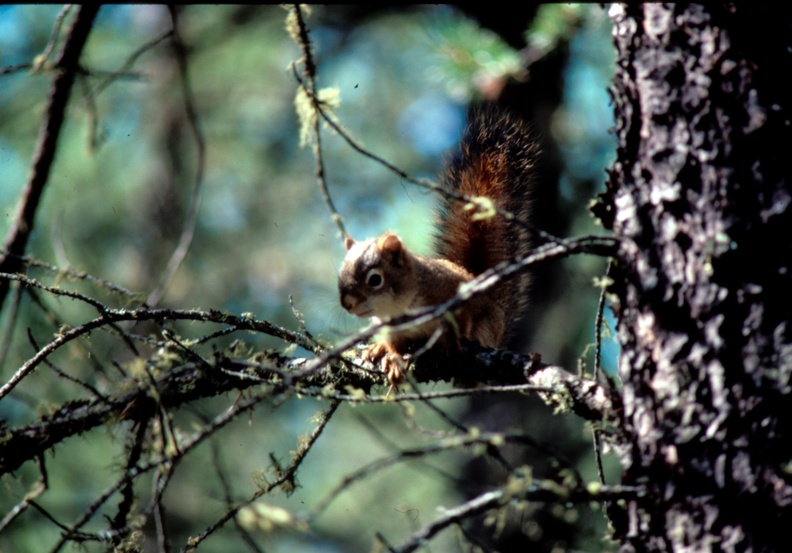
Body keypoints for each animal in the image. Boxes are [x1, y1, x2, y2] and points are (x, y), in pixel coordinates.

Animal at [338, 109, 537, 384]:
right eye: (339, 275)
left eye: (375, 279)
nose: (346, 303)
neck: (401, 307)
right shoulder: (390, 328)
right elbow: (394, 344)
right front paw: (391, 357)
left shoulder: (452, 294)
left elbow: (459, 323)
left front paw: (450, 344)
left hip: (488, 326)